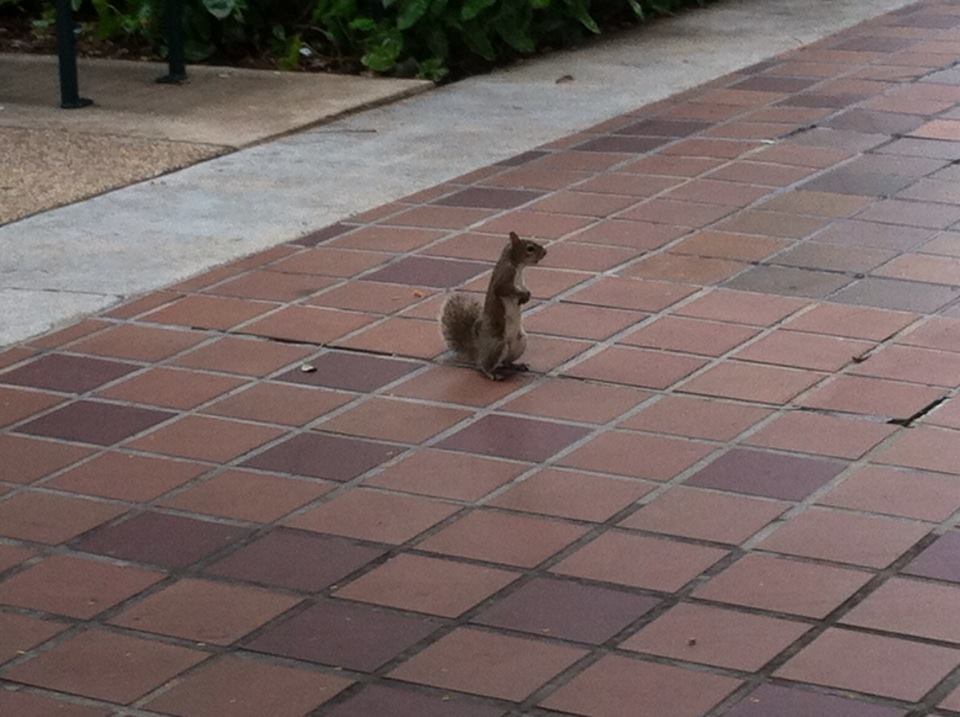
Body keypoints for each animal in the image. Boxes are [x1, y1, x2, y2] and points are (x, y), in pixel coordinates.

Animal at [438, 234, 544, 380]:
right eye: (530, 248)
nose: (545, 252)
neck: (517, 267)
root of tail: (478, 352)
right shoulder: (504, 277)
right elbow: (503, 289)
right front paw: (523, 295)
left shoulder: (520, 282)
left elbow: (524, 288)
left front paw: (527, 295)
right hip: (498, 346)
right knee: (484, 366)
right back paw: (492, 374)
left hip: (520, 343)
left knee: (506, 362)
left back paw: (517, 366)